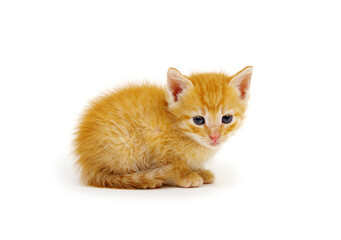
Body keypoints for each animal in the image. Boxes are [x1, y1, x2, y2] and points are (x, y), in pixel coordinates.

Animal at [73, 66, 251, 189]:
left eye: (226, 118)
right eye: (198, 120)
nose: (214, 136)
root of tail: (87, 163)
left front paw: (199, 171)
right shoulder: (156, 140)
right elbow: (175, 166)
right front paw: (185, 176)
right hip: (125, 143)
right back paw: (145, 180)